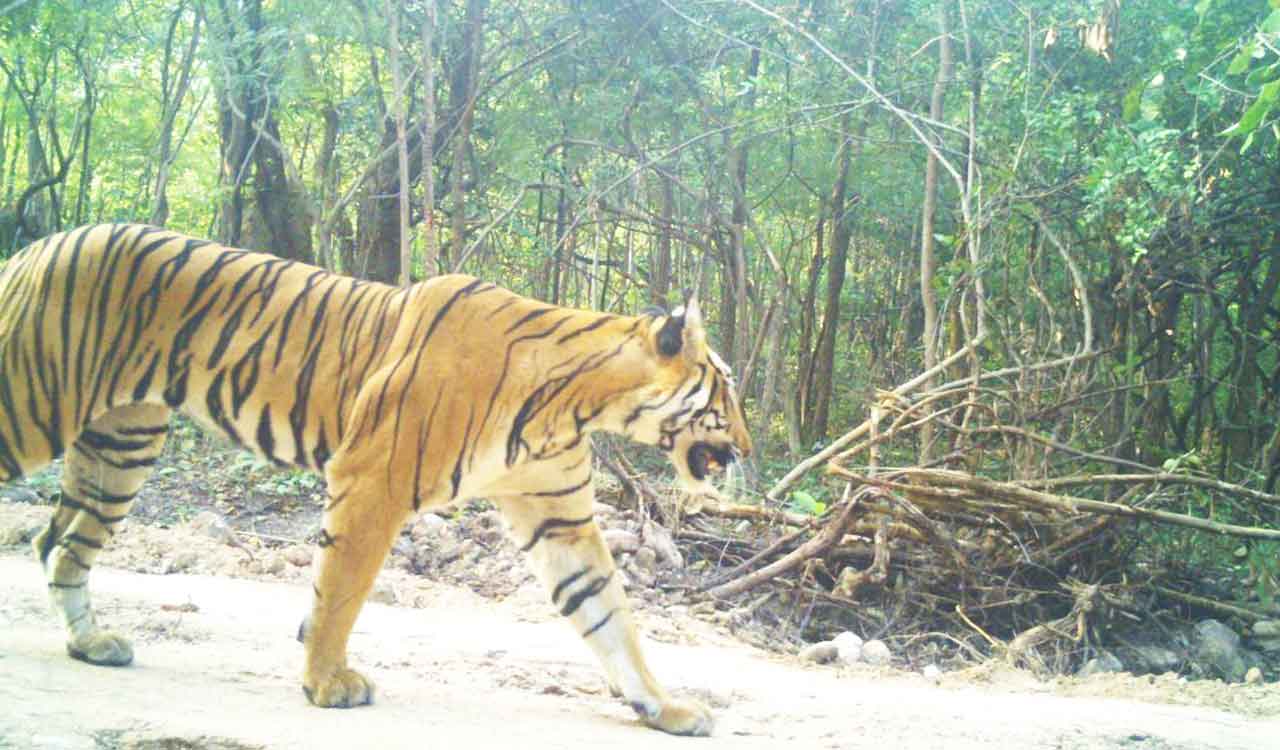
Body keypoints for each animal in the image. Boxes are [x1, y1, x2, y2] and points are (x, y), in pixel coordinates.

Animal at [0, 223, 752, 736]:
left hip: (122, 444)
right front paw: (325, 683)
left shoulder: (559, 517)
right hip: (34, 408)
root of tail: (37, 246)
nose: (747, 447)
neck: (576, 404)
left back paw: (91, 645)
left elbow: (607, 612)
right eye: (728, 390)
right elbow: (341, 591)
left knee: (59, 545)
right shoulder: (372, 480)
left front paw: (664, 706)